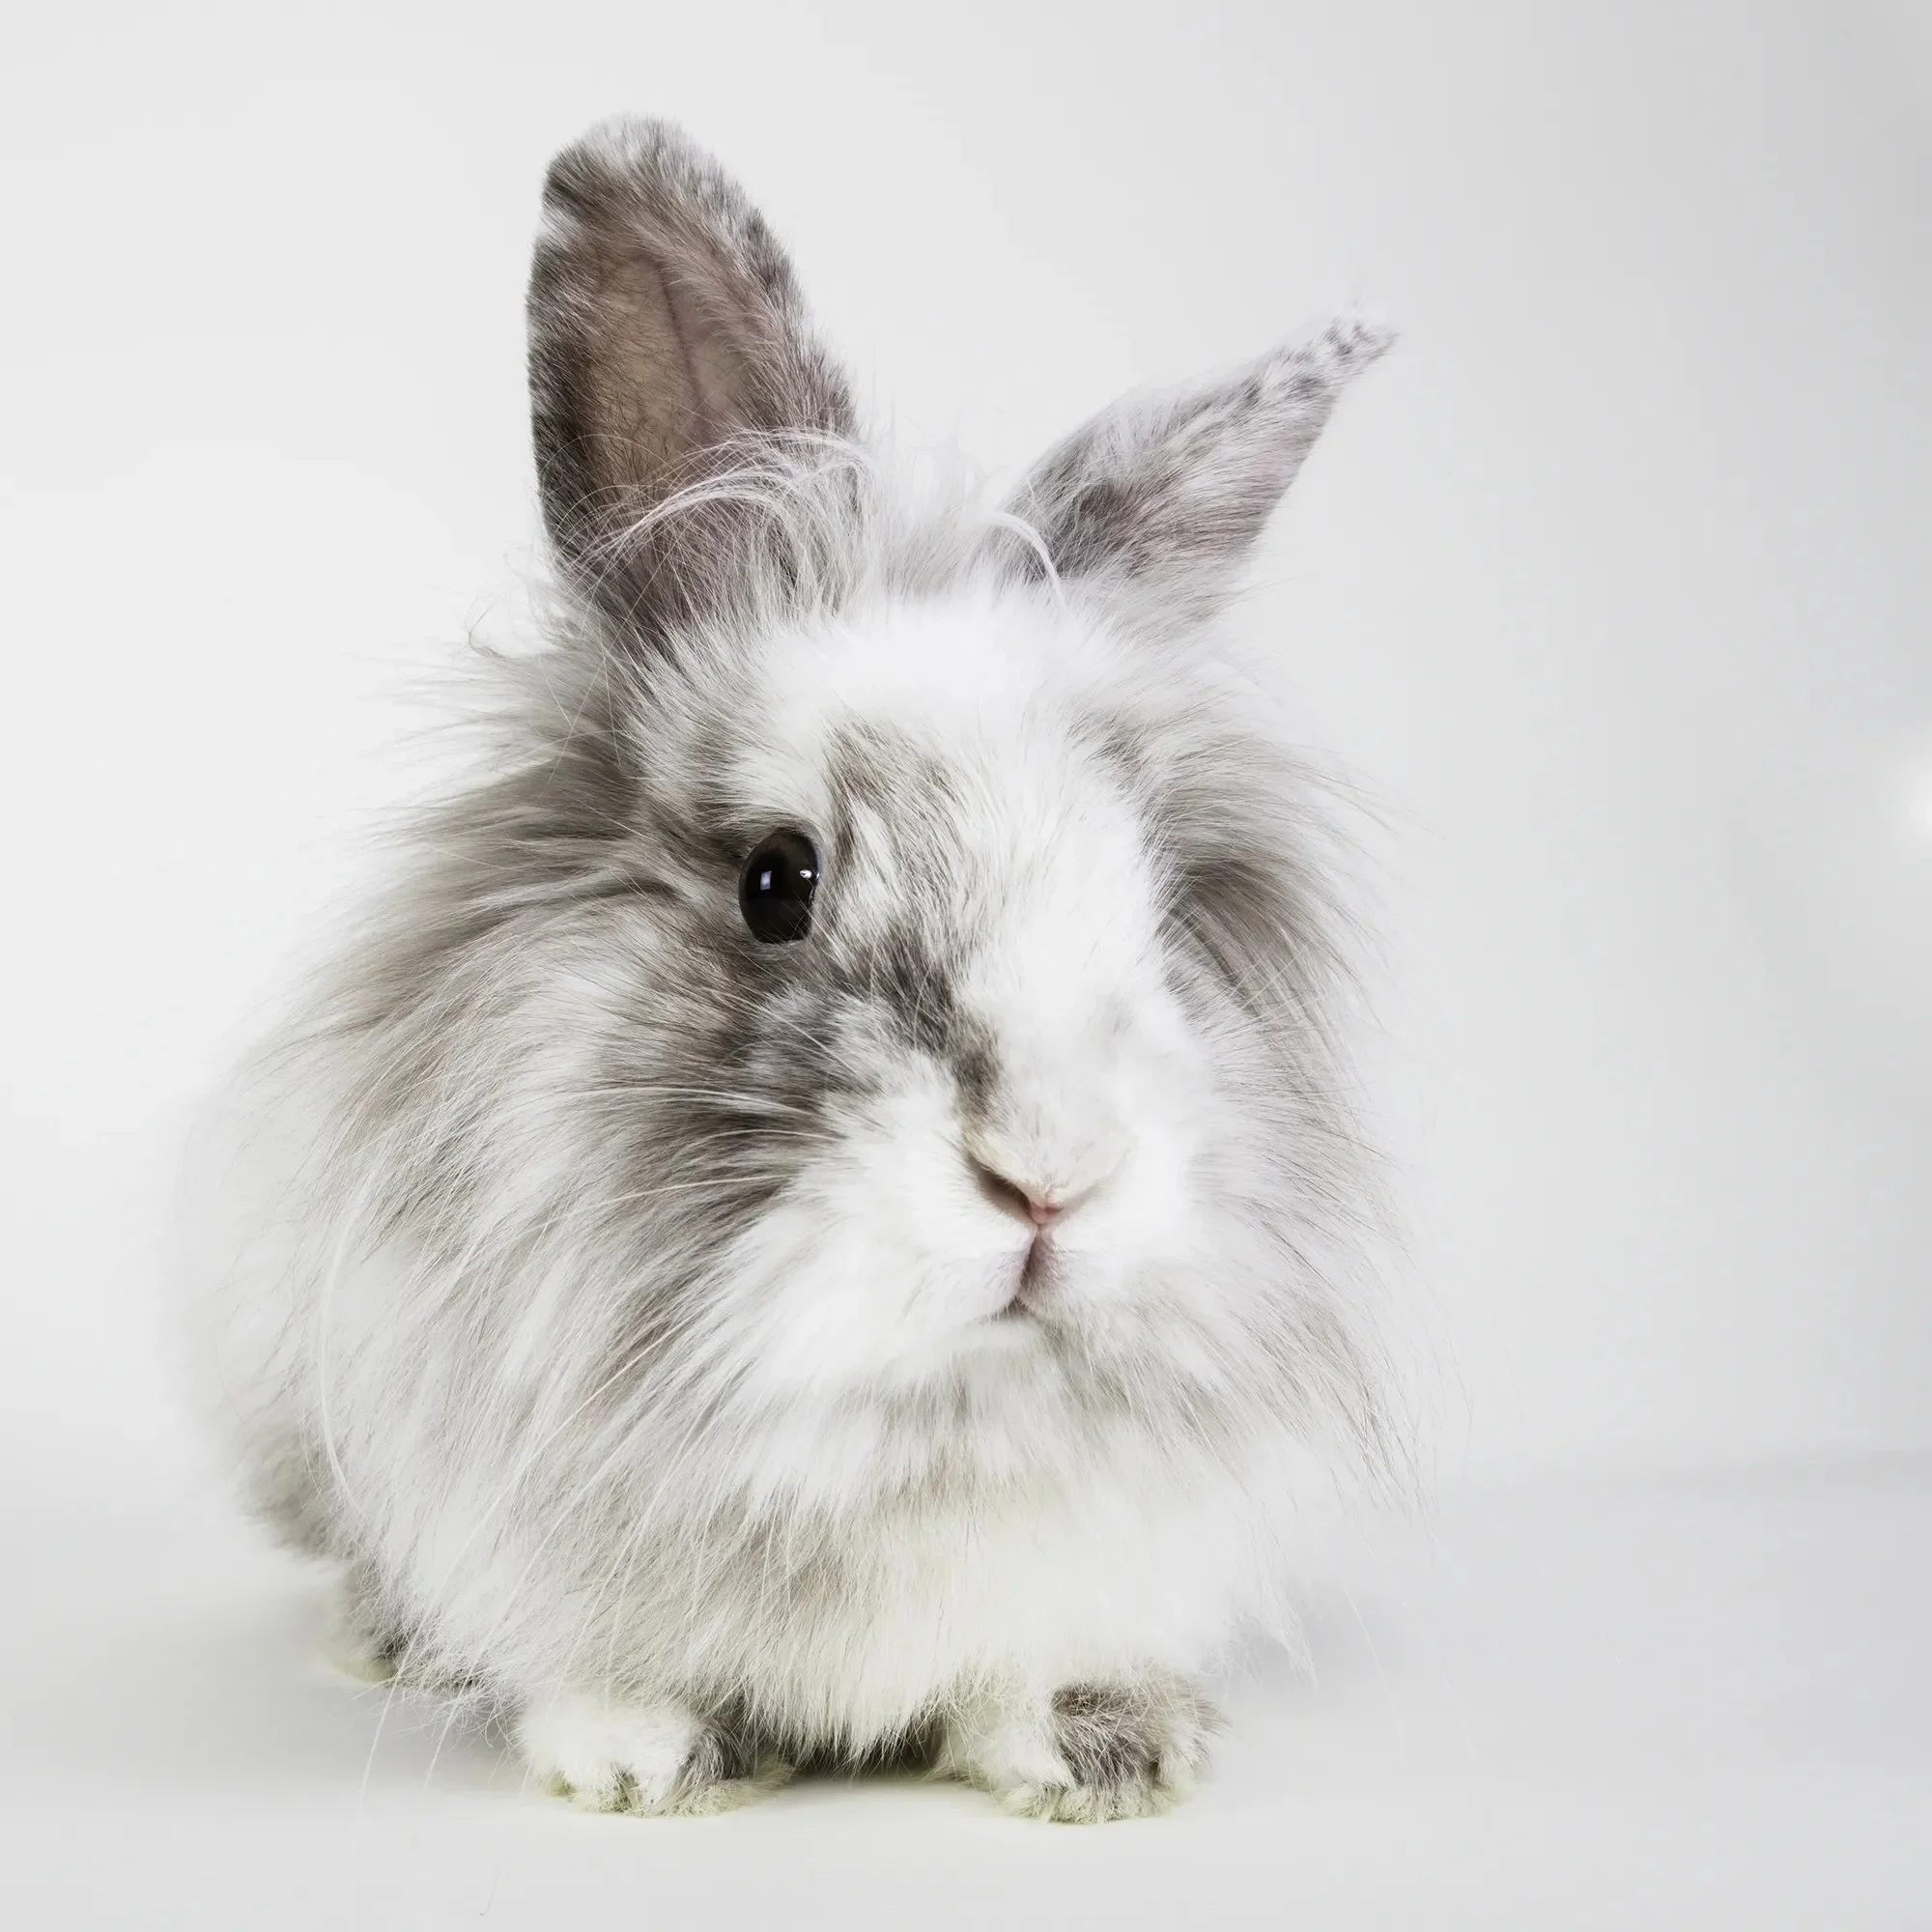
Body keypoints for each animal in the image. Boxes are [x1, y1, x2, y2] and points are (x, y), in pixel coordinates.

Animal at [180, 116, 1402, 1823]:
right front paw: (650, 1756)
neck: (907, 1425)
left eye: (1156, 900)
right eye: (778, 883)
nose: (1052, 1173)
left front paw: (1105, 1750)